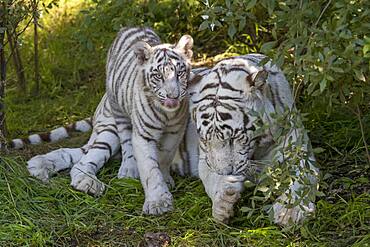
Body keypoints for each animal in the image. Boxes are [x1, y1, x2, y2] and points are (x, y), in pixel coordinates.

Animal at [26, 27, 194, 215]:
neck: (167, 114)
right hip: (111, 127)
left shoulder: (175, 131)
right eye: (158, 76)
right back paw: (94, 183)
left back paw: (38, 166)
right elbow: (149, 168)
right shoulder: (143, 135)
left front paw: (165, 181)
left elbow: (164, 157)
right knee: (85, 161)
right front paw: (158, 202)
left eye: (179, 73)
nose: (173, 96)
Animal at [176, 54, 318, 226]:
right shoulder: (205, 160)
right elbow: (211, 178)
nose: (227, 173)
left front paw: (289, 211)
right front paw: (223, 201)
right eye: (205, 140)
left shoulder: (297, 150)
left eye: (233, 138)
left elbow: (302, 179)